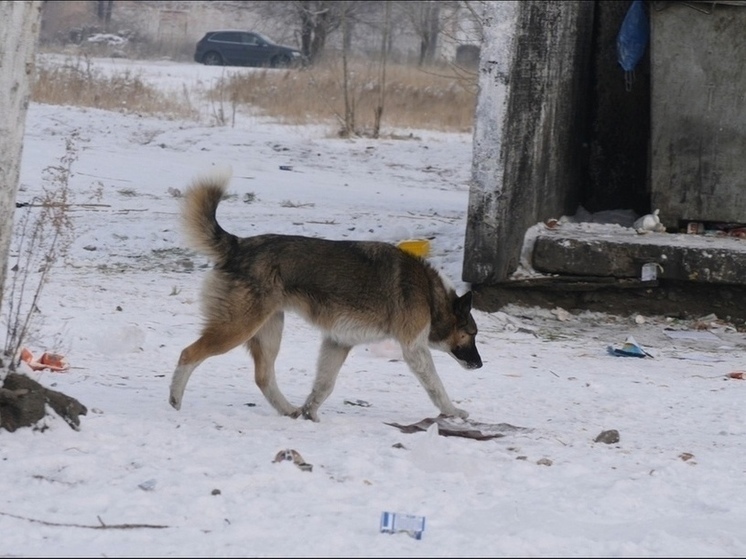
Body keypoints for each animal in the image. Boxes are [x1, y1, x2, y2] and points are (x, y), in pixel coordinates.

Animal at [169, 173, 482, 422]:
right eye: (471, 334)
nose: (480, 365)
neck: (430, 293)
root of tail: (239, 245)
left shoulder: (338, 342)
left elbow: (324, 385)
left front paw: (310, 412)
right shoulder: (414, 349)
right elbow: (436, 386)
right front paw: (453, 412)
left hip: (269, 332)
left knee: (264, 377)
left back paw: (289, 410)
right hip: (238, 327)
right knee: (189, 353)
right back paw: (175, 400)